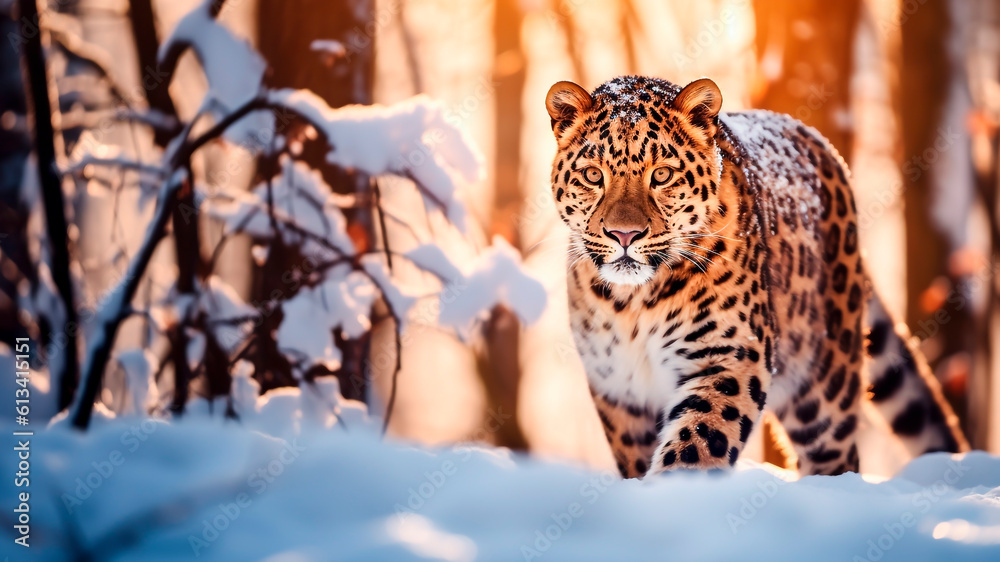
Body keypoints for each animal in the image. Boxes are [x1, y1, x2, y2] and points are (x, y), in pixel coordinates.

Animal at [548, 74, 968, 476]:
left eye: (662, 175)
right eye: (592, 176)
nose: (624, 234)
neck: (633, 302)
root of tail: (815, 139)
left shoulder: (729, 355)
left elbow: (697, 444)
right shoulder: (619, 390)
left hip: (823, 388)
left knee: (837, 458)